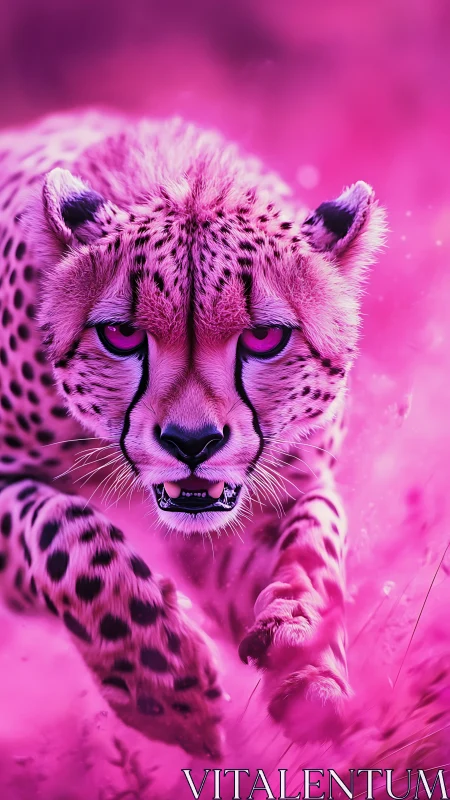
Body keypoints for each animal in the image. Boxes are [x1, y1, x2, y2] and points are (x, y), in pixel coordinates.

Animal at [1, 111, 448, 776]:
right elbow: (66, 536)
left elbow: (316, 540)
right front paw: (161, 683)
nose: (192, 442)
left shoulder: (273, 494)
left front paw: (307, 660)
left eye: (264, 338)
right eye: (120, 335)